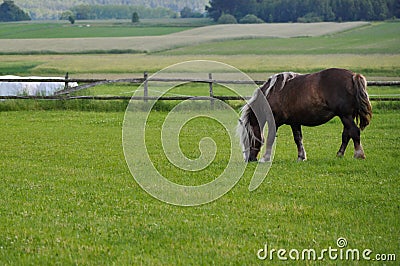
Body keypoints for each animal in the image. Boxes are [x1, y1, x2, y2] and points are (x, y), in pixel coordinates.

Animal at [238, 68, 372, 162]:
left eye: (249, 137)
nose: (249, 159)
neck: (272, 93)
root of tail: (353, 76)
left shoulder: (274, 121)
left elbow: (270, 138)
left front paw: (265, 158)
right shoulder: (294, 122)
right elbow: (298, 139)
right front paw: (301, 157)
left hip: (345, 115)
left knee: (354, 131)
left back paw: (359, 154)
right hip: (347, 116)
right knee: (347, 134)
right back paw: (340, 154)